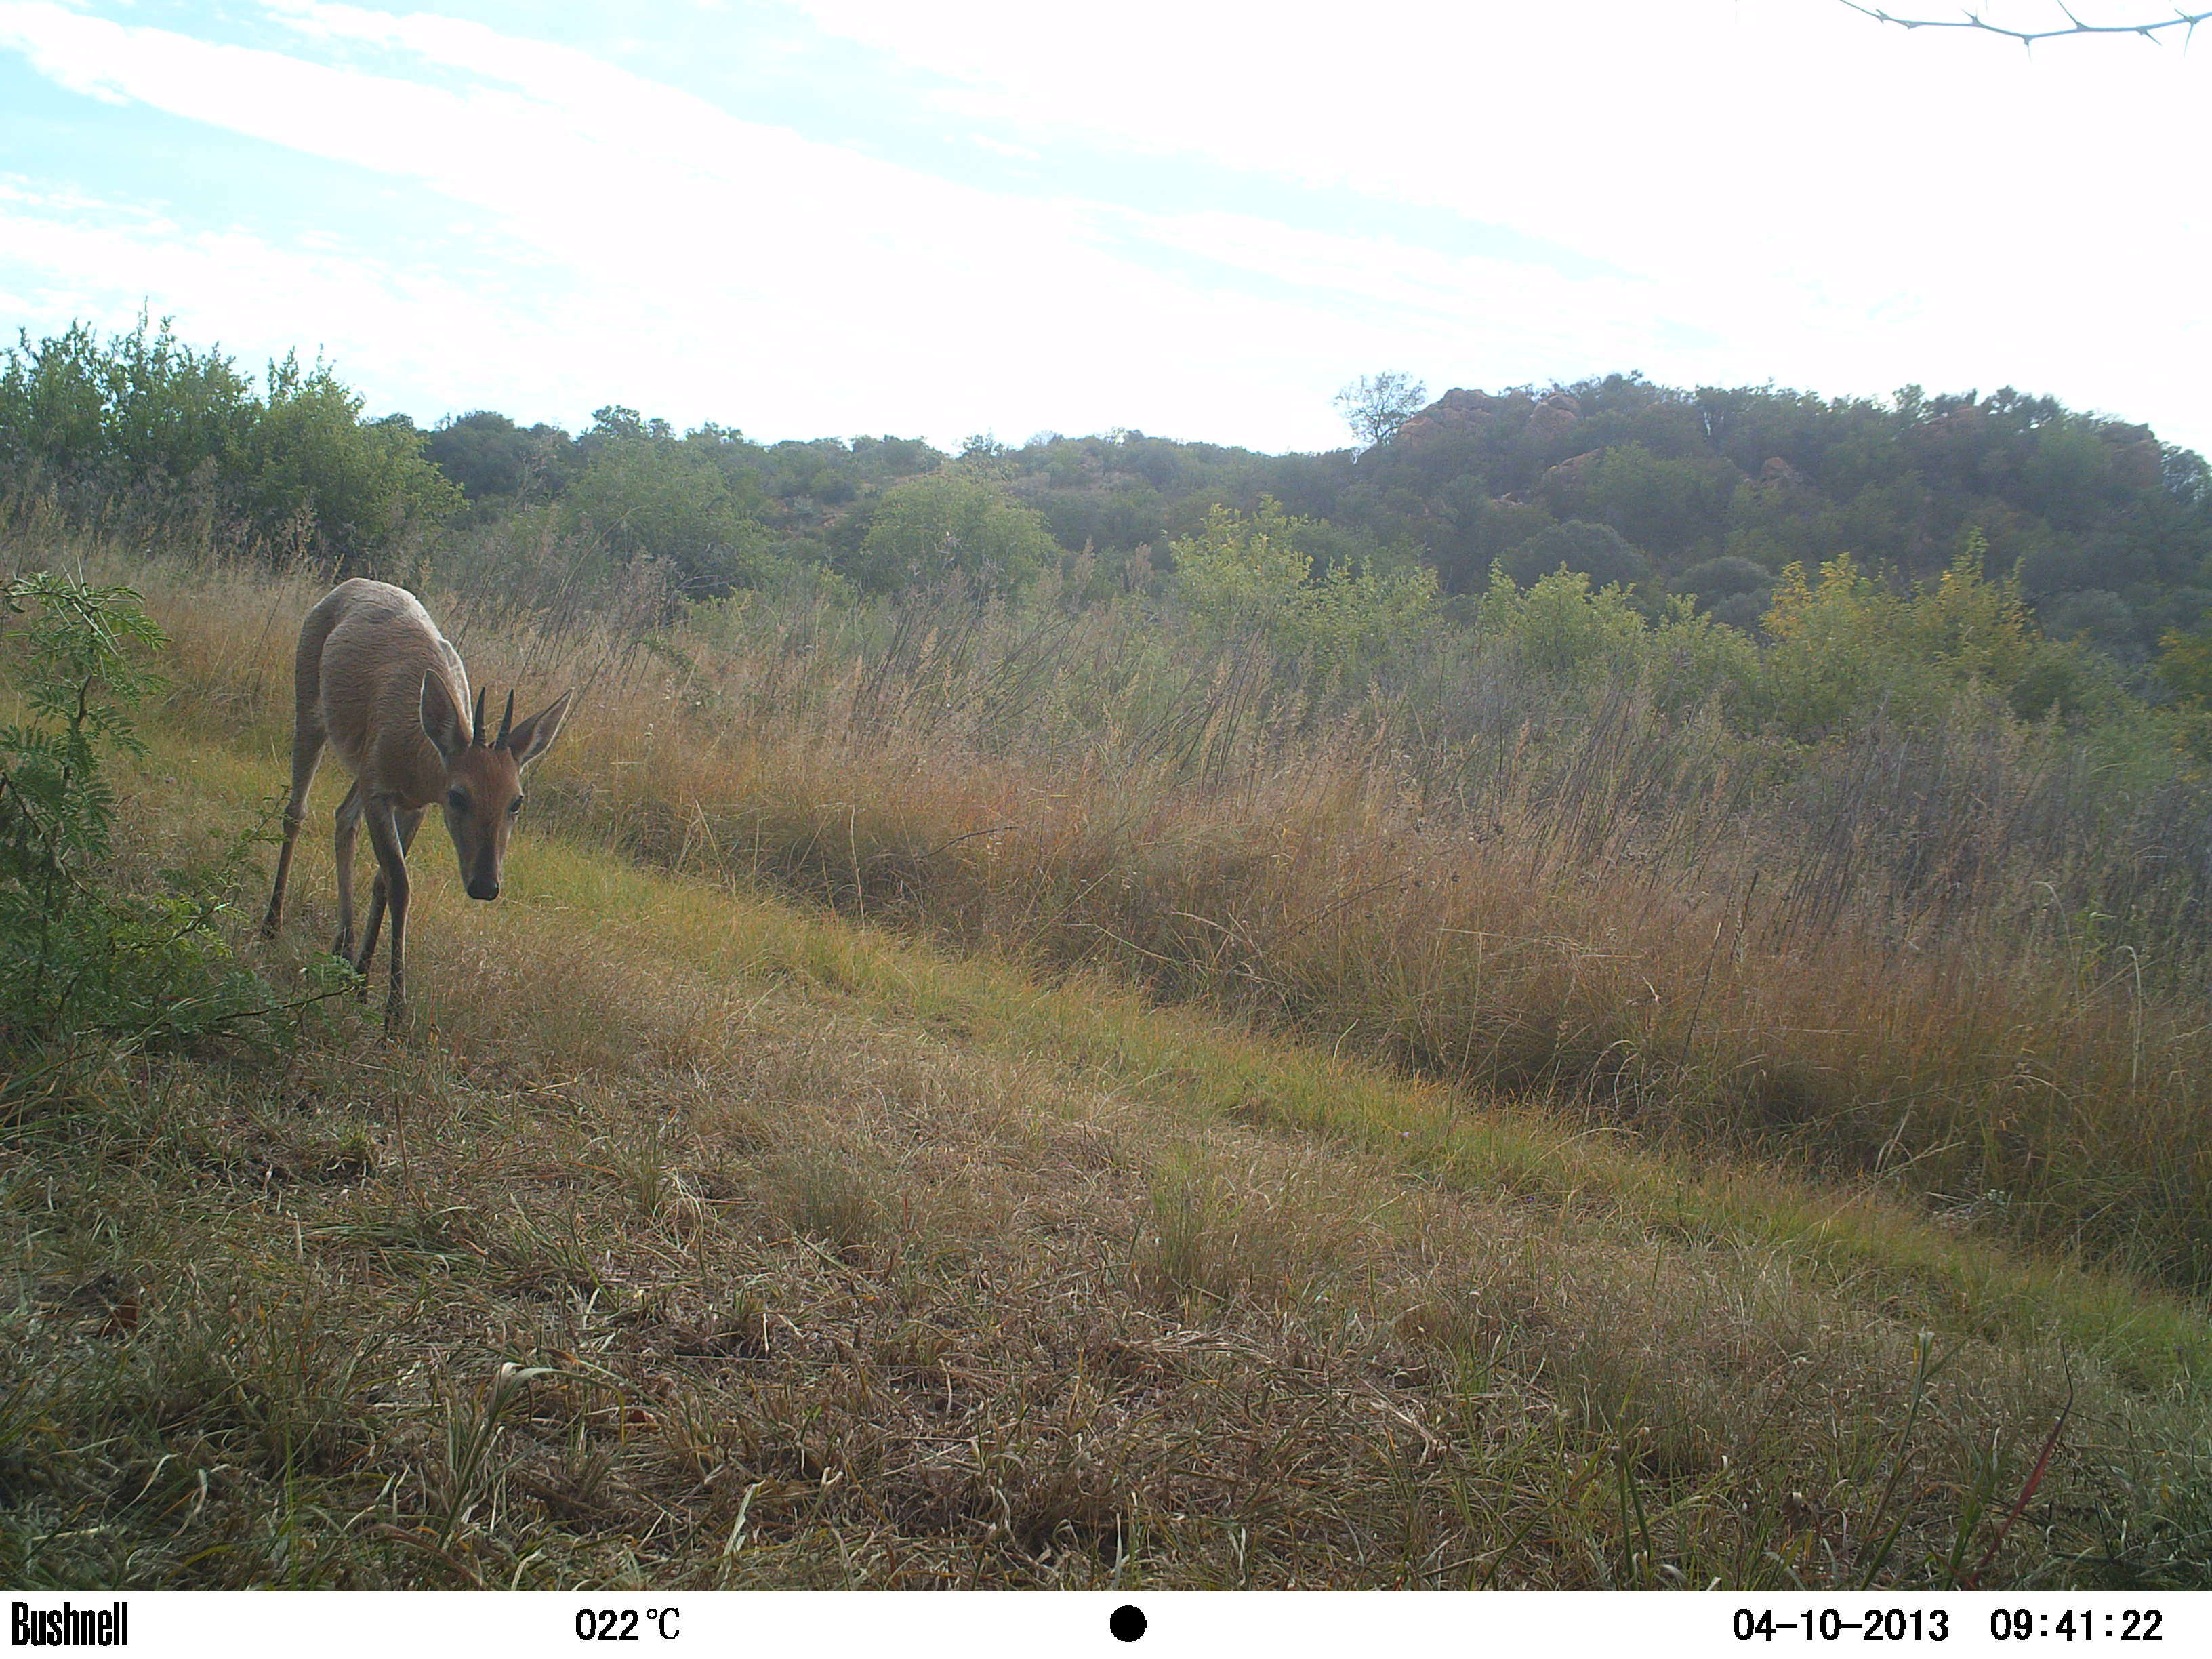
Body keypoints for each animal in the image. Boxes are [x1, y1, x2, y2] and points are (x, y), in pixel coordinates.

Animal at [260, 579, 575, 1026]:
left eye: (516, 802)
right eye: (458, 795)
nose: (485, 885)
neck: (419, 760)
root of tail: (349, 585)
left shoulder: (413, 804)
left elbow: (383, 881)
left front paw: (361, 980)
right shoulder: (380, 789)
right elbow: (400, 884)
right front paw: (393, 1009)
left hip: (359, 765)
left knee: (343, 818)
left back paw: (343, 944)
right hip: (308, 702)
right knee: (296, 812)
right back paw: (272, 923)